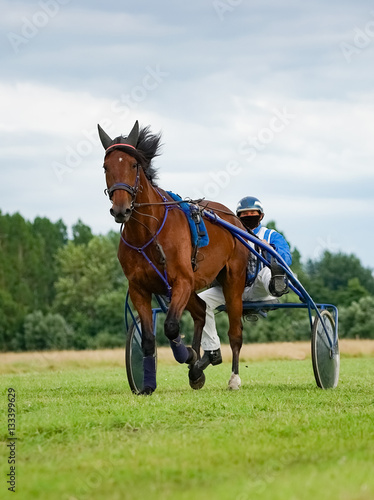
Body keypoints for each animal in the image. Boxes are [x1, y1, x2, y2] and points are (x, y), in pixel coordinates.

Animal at [98, 121, 248, 394]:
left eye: (133, 165)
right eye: (106, 166)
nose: (121, 209)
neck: (147, 233)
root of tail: (231, 217)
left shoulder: (182, 281)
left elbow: (170, 327)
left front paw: (187, 354)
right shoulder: (139, 288)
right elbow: (148, 339)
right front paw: (148, 383)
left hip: (233, 281)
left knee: (235, 333)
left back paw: (232, 377)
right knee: (201, 312)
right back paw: (199, 368)